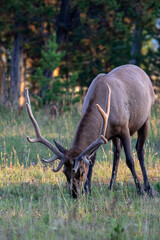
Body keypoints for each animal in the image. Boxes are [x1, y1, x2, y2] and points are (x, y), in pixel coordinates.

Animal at [25, 63, 155, 197]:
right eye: (65, 172)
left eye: (81, 172)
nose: (74, 194)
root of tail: (142, 71)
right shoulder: (103, 135)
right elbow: (92, 159)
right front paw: (87, 189)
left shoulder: (124, 128)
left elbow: (130, 160)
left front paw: (140, 190)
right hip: (116, 136)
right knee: (117, 153)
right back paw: (111, 186)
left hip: (146, 118)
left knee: (140, 150)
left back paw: (148, 188)